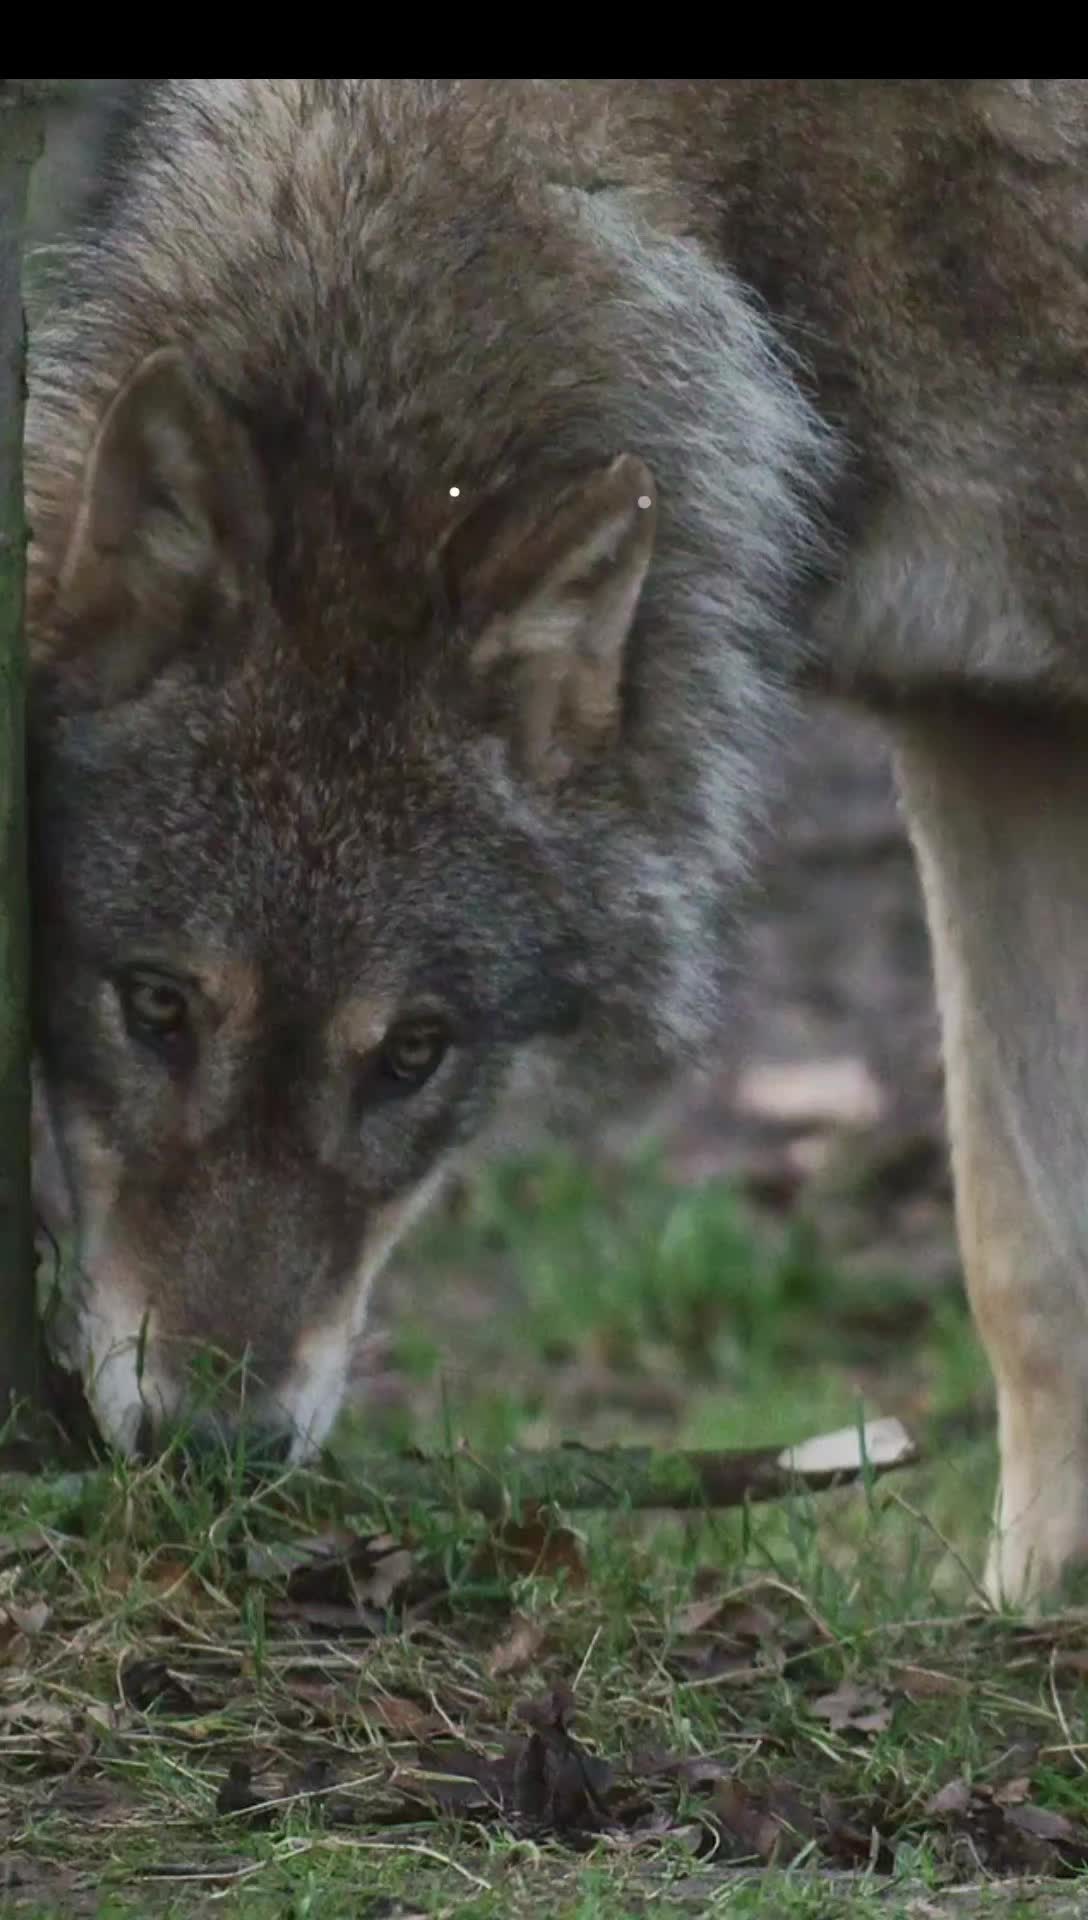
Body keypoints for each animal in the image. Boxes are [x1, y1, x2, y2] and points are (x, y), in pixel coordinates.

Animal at [24, 79, 1088, 1604]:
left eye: (414, 1053)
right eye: (156, 1006)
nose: (215, 1453)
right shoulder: (974, 712)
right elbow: (1025, 1258)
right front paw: (1028, 1612)